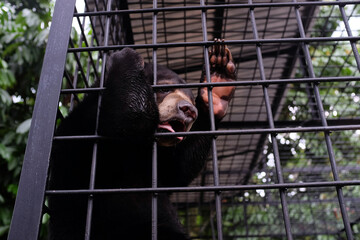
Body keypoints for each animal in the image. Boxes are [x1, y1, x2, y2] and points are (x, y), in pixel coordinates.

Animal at [48, 39, 236, 240]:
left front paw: (218, 85)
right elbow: (127, 121)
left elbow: (178, 169)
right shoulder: (88, 125)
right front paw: (125, 56)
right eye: (164, 88)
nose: (189, 110)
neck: (141, 148)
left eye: (192, 101)